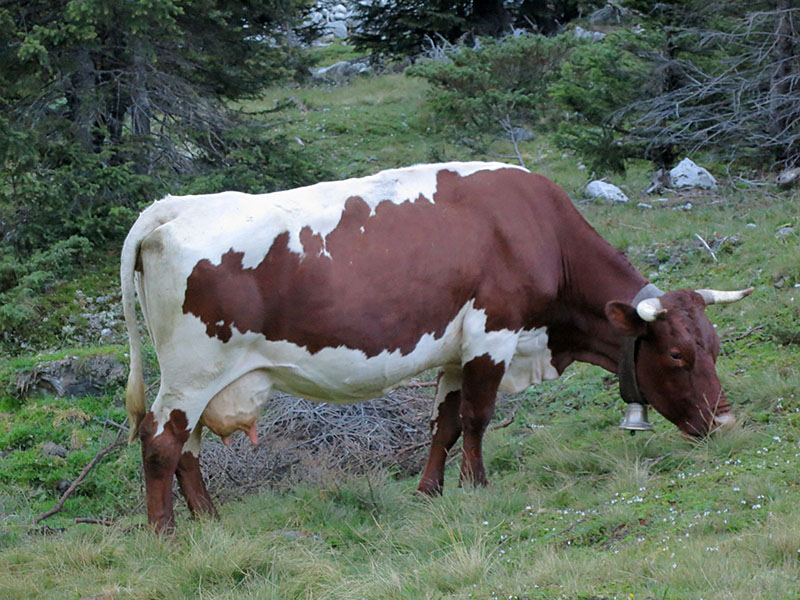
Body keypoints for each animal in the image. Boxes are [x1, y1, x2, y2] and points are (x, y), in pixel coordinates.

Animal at [119, 162, 752, 532]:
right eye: (677, 356)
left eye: (716, 347)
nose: (724, 423)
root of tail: (175, 205)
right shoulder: (492, 336)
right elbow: (477, 417)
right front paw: (477, 485)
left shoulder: (454, 351)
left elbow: (443, 423)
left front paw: (430, 492)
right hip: (192, 372)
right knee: (161, 442)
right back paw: (165, 533)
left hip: (204, 379)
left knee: (188, 449)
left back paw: (210, 520)